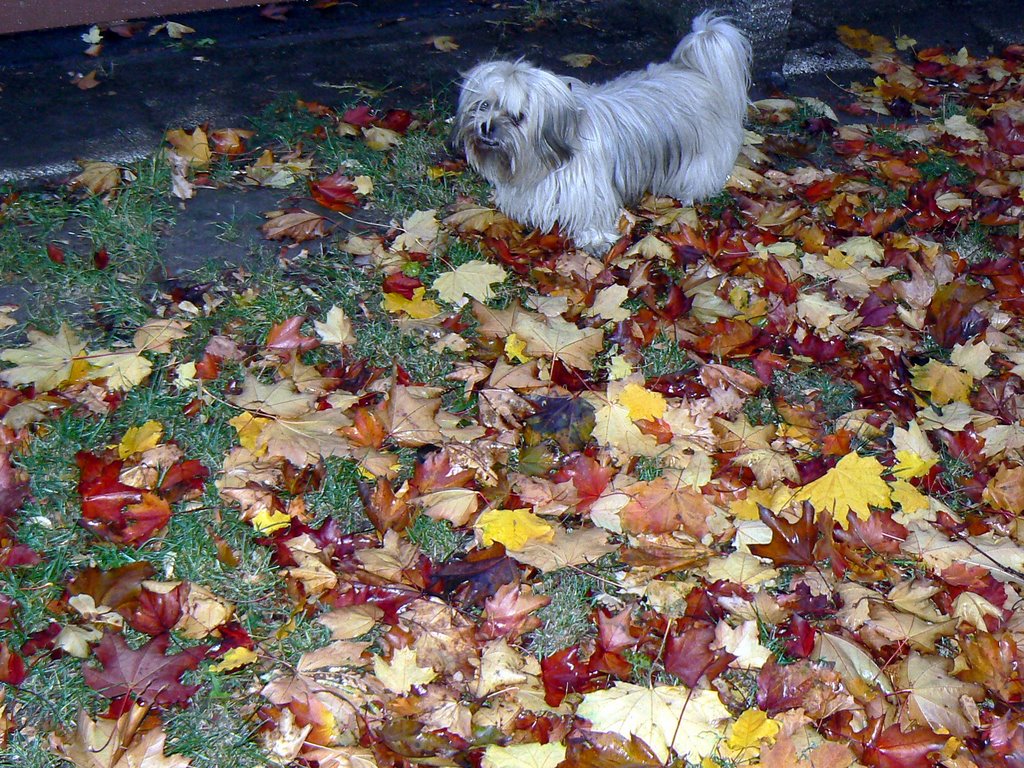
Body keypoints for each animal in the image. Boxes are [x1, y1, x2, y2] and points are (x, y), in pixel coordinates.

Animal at [456, 12, 753, 252]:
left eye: (517, 117)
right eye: (484, 105)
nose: (485, 126)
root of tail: (697, 72)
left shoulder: (589, 193)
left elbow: (592, 217)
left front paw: (594, 241)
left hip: (702, 151)